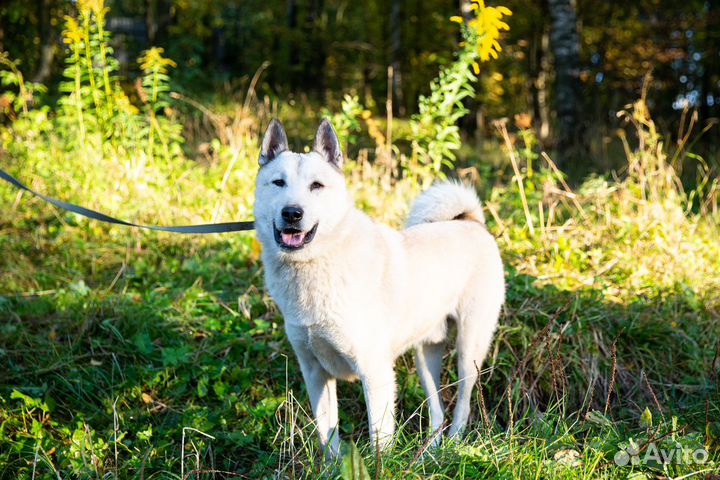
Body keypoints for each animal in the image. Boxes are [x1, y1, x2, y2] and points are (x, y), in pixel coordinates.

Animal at [255, 118, 506, 456]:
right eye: (278, 183)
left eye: (316, 186)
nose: (292, 213)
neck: (316, 262)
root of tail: (471, 221)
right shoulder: (315, 372)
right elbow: (327, 436)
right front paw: (332, 465)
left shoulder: (374, 373)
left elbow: (379, 440)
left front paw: (380, 463)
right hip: (426, 355)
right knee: (436, 410)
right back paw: (429, 453)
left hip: (469, 351)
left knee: (463, 405)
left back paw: (452, 446)